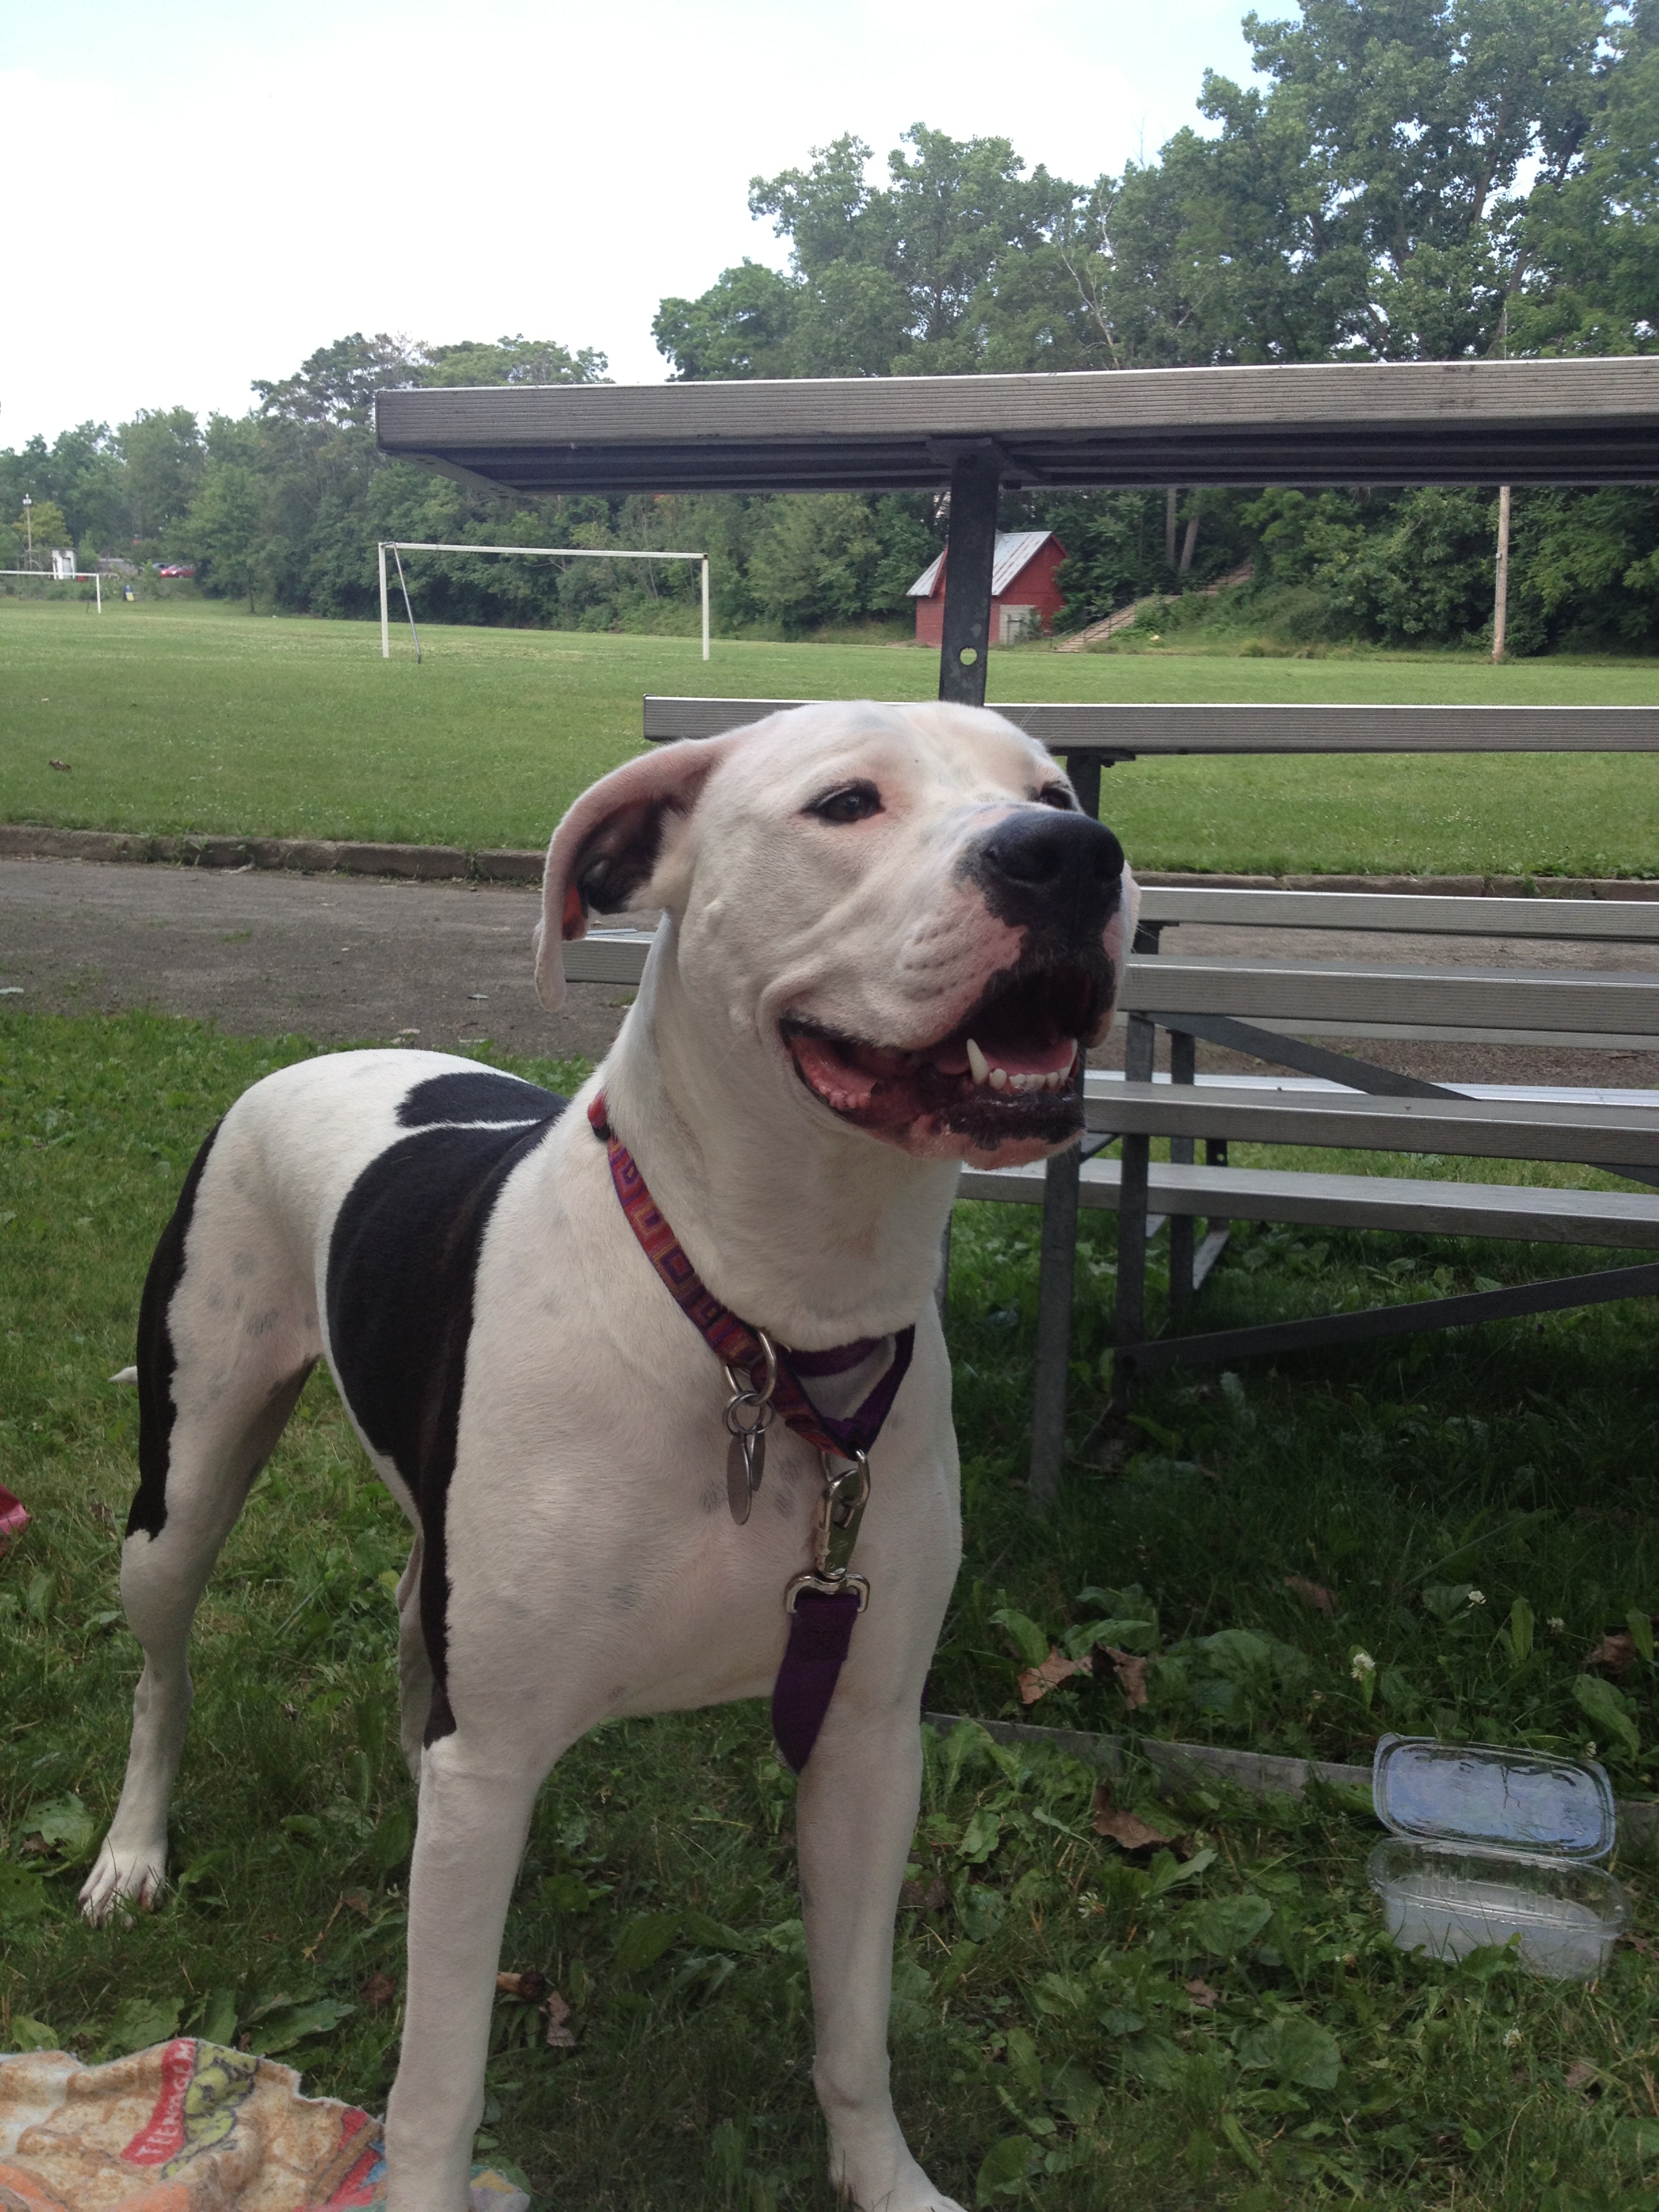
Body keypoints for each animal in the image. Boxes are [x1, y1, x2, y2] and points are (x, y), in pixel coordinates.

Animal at [81, 699, 1135, 2211]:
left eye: (1052, 788)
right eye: (845, 802)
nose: (1069, 856)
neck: (765, 1328)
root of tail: (315, 1061)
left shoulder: (867, 1740)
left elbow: (855, 2024)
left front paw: (884, 2179)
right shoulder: (498, 1763)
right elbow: (439, 2082)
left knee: (408, 1625)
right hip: (180, 1486)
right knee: (162, 1670)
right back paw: (131, 1854)